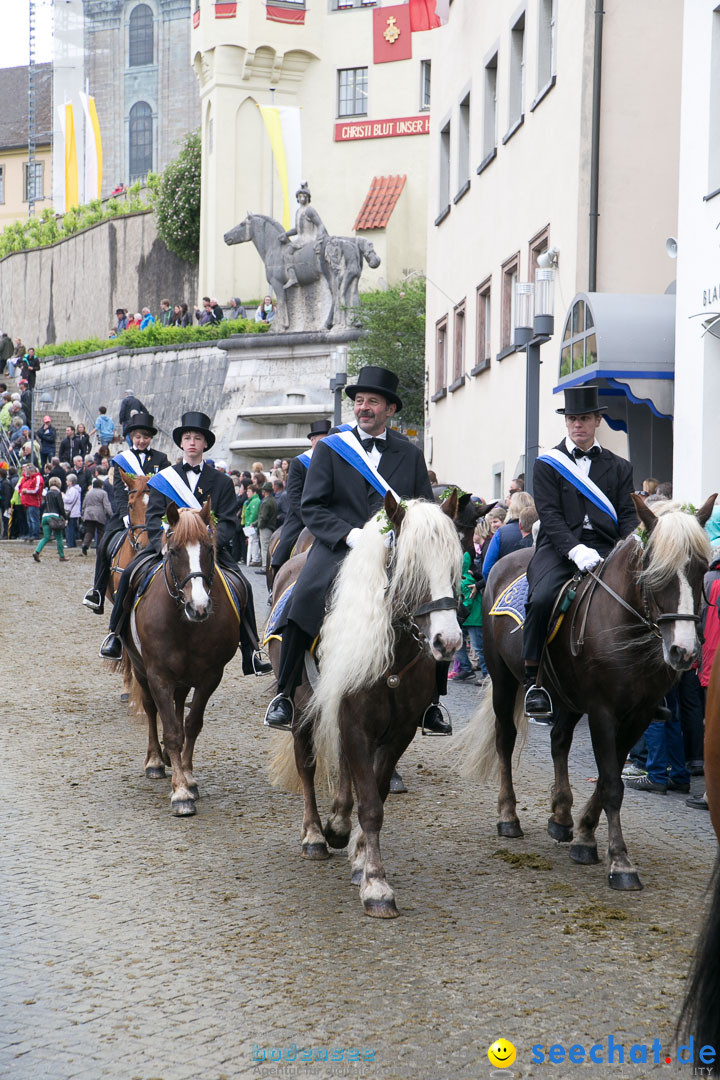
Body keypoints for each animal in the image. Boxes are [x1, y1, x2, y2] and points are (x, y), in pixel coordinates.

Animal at [121, 501, 245, 812]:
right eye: (174, 550)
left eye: (210, 549)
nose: (198, 606)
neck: (185, 624)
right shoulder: (158, 675)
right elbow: (172, 731)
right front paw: (180, 793)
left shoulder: (210, 676)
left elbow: (191, 724)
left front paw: (187, 777)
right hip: (141, 669)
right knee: (152, 710)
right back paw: (155, 760)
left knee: (178, 707)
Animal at [268, 494, 462, 915]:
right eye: (411, 569)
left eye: (456, 568)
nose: (449, 641)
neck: (394, 650)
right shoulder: (354, 721)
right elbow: (370, 803)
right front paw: (376, 885)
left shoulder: (399, 730)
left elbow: (377, 790)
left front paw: (360, 857)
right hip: (302, 712)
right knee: (306, 766)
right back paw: (315, 835)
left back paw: (338, 825)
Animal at [455, 494, 716, 889]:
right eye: (655, 571)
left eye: (702, 567)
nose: (684, 652)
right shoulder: (603, 711)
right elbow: (610, 784)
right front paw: (620, 862)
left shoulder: (638, 715)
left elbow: (610, 777)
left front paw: (585, 835)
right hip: (504, 680)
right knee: (505, 739)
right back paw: (508, 817)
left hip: (566, 696)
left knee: (559, 739)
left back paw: (561, 817)